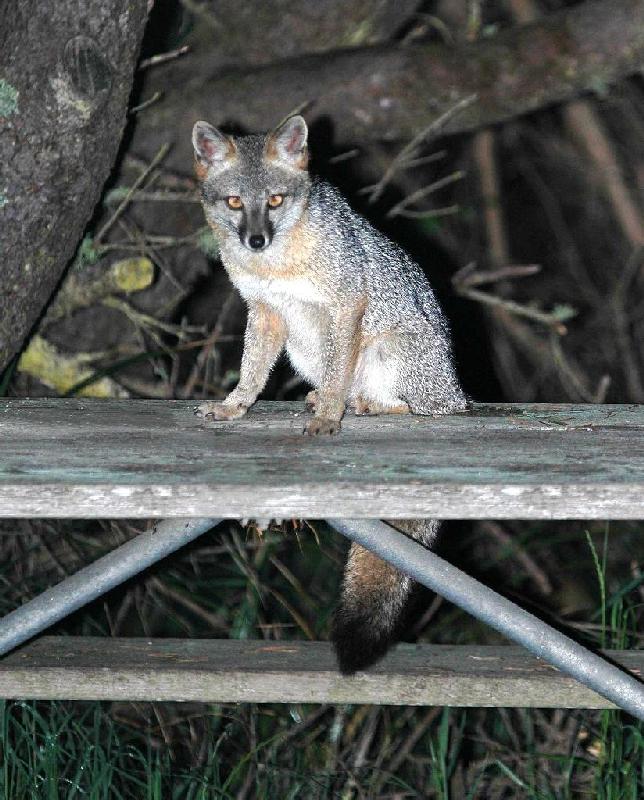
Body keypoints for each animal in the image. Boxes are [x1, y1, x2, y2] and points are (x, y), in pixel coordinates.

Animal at [191, 114, 468, 673]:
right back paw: (323, 398)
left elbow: (340, 373)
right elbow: (252, 372)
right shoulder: (266, 311)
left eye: (275, 200)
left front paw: (332, 417)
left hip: (388, 356)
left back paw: (365, 405)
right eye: (235, 202)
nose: (255, 240)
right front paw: (235, 406)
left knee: (424, 408)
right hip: (303, 351)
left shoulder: (347, 303)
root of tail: (455, 387)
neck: (276, 267)